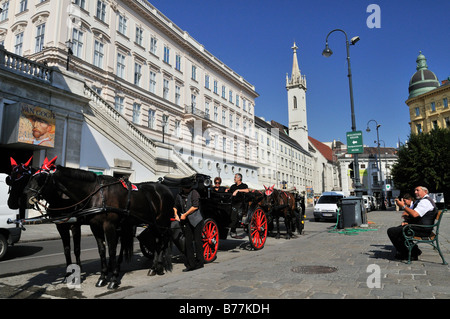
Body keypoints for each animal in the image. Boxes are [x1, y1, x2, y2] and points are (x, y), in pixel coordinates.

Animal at [22, 162, 174, 290]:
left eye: (41, 179)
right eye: (29, 178)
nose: (26, 198)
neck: (95, 193)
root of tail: (165, 189)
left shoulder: (105, 226)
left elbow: (109, 250)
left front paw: (113, 279)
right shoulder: (92, 227)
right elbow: (98, 250)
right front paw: (102, 277)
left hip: (161, 222)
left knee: (162, 242)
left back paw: (158, 267)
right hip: (150, 224)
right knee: (157, 241)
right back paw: (155, 267)